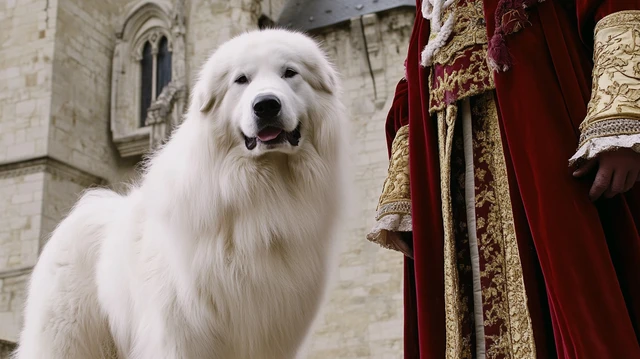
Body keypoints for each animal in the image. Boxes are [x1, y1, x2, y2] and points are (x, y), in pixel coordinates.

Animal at [12, 30, 348, 359]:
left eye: (289, 72)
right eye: (241, 80)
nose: (266, 105)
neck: (257, 193)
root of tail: (85, 209)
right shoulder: (179, 333)